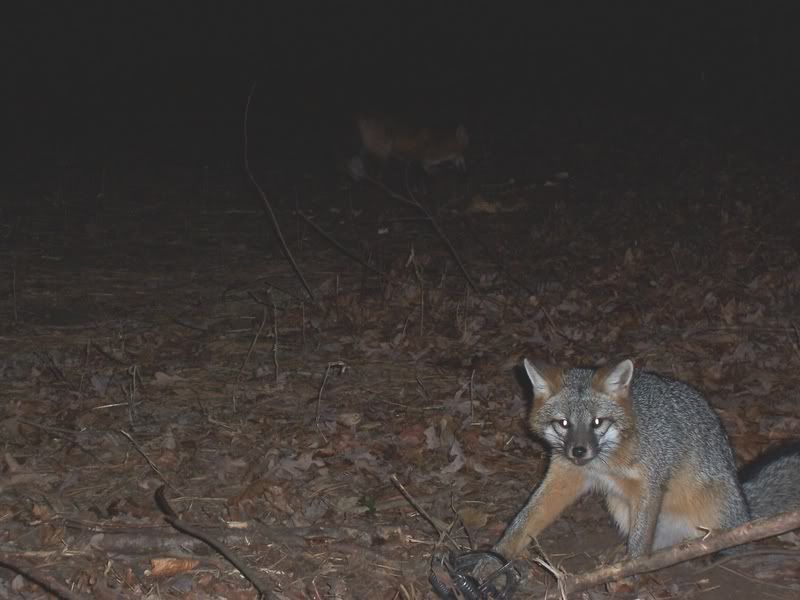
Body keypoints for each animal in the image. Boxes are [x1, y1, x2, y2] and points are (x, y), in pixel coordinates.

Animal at [494, 358, 800, 560]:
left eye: (597, 422)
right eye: (564, 423)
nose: (579, 451)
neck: (605, 462)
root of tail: (745, 505)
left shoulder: (650, 485)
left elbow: (641, 542)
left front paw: (631, 572)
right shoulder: (564, 477)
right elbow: (525, 520)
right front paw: (496, 556)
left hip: (713, 509)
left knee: (736, 541)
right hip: (618, 506)